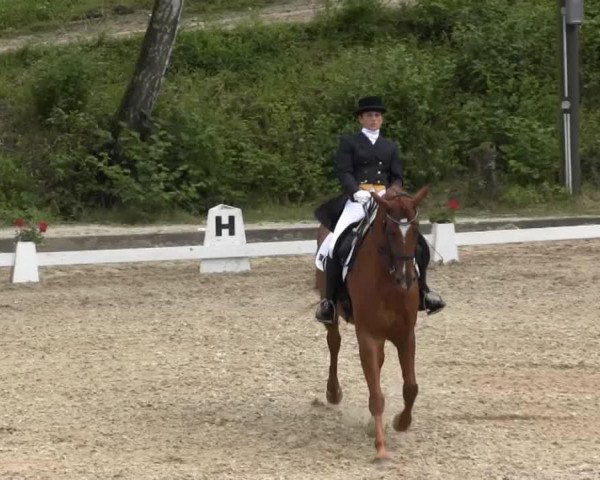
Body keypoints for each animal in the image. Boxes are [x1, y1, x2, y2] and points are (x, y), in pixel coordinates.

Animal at [316, 185, 428, 462]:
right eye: (389, 230)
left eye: (416, 229)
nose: (406, 279)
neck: (388, 282)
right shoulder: (368, 335)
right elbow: (376, 395)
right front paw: (381, 447)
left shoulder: (405, 335)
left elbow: (411, 387)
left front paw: (401, 422)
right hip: (331, 311)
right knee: (334, 343)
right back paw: (333, 393)